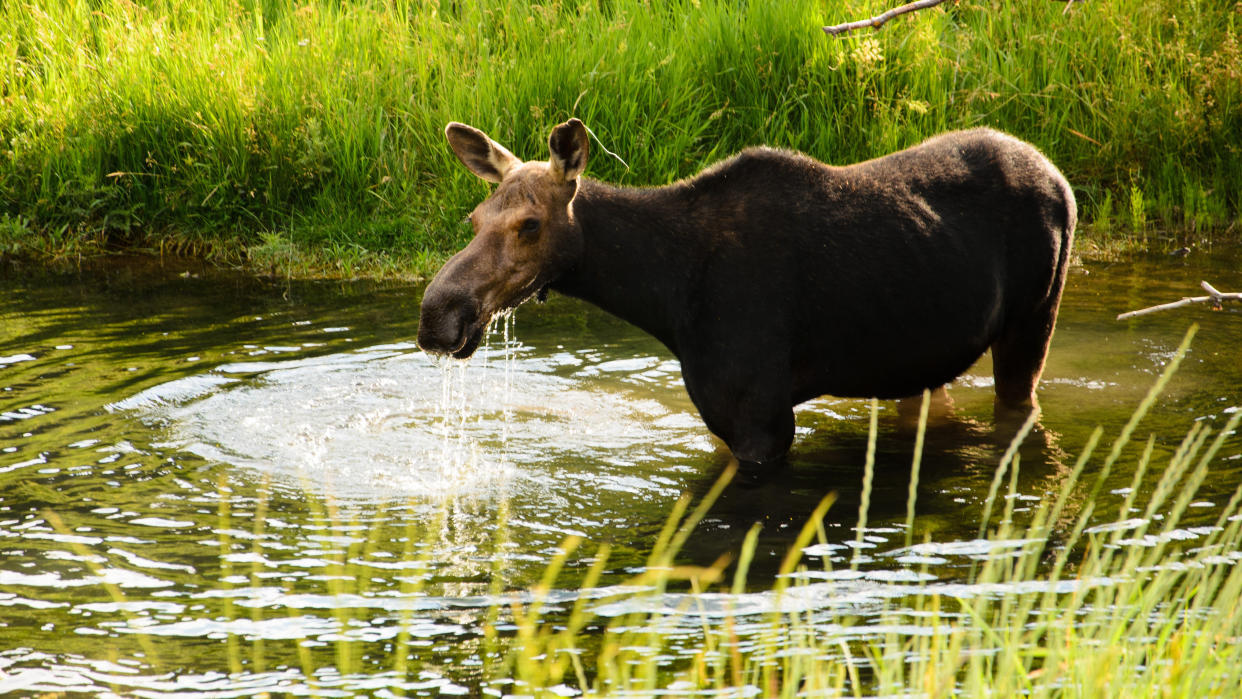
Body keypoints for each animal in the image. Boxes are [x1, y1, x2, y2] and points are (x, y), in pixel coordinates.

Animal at [419, 120, 1078, 481]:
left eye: (529, 225)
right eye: (474, 218)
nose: (436, 315)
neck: (663, 293)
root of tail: (1059, 176)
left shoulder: (762, 419)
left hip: (1034, 320)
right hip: (922, 358)